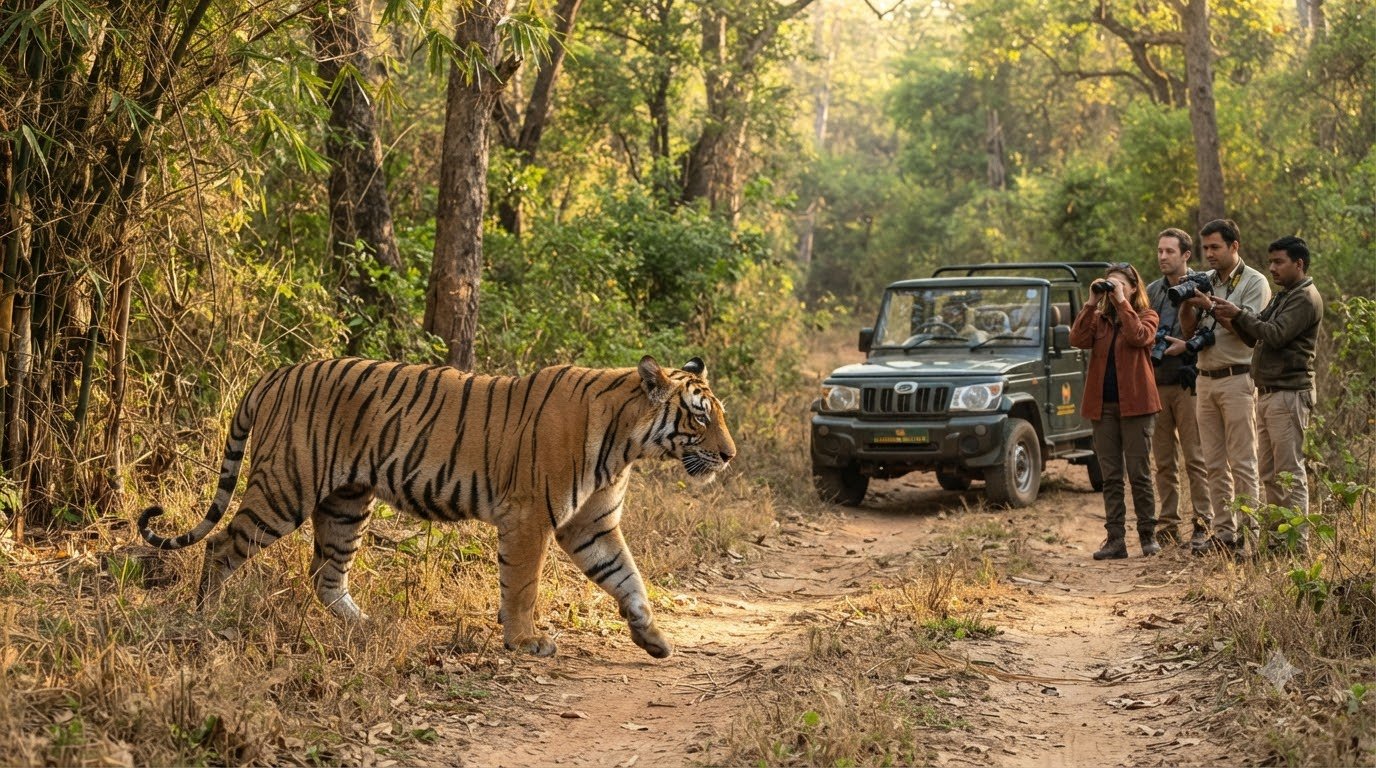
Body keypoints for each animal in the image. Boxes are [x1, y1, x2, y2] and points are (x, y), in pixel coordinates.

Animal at [138, 355, 735, 659]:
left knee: (325, 575)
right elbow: (522, 585)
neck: (628, 444)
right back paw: (206, 616)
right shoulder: (530, 518)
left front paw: (653, 638)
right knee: (222, 544)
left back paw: (368, 627)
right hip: (287, 486)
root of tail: (277, 373)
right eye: (700, 416)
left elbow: (627, 578)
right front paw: (525, 641)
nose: (730, 456)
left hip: (347, 503)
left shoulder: (593, 524)